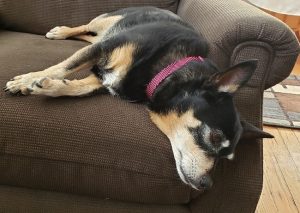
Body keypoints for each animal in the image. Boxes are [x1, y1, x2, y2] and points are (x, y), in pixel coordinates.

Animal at [3, 6, 274, 190]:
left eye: (226, 159)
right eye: (215, 138)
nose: (206, 184)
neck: (169, 67)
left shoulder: (103, 78)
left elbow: (76, 87)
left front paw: (47, 86)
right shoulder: (103, 50)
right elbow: (63, 66)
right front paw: (27, 80)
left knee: (88, 37)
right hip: (108, 22)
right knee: (88, 29)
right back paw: (61, 32)